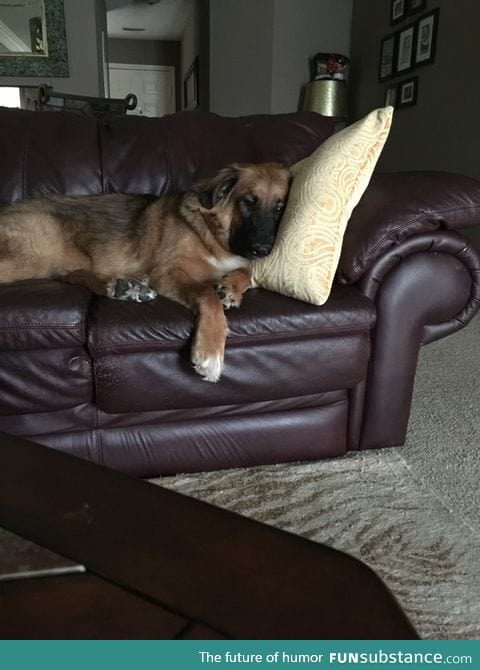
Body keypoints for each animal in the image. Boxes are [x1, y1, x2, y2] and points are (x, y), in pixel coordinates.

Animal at [0, 162, 290, 384]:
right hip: (32, 254)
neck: (214, 234)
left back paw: (123, 287)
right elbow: (207, 295)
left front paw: (230, 287)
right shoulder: (170, 273)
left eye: (280, 208)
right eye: (249, 202)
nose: (264, 249)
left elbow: (245, 271)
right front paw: (209, 352)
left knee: (69, 274)